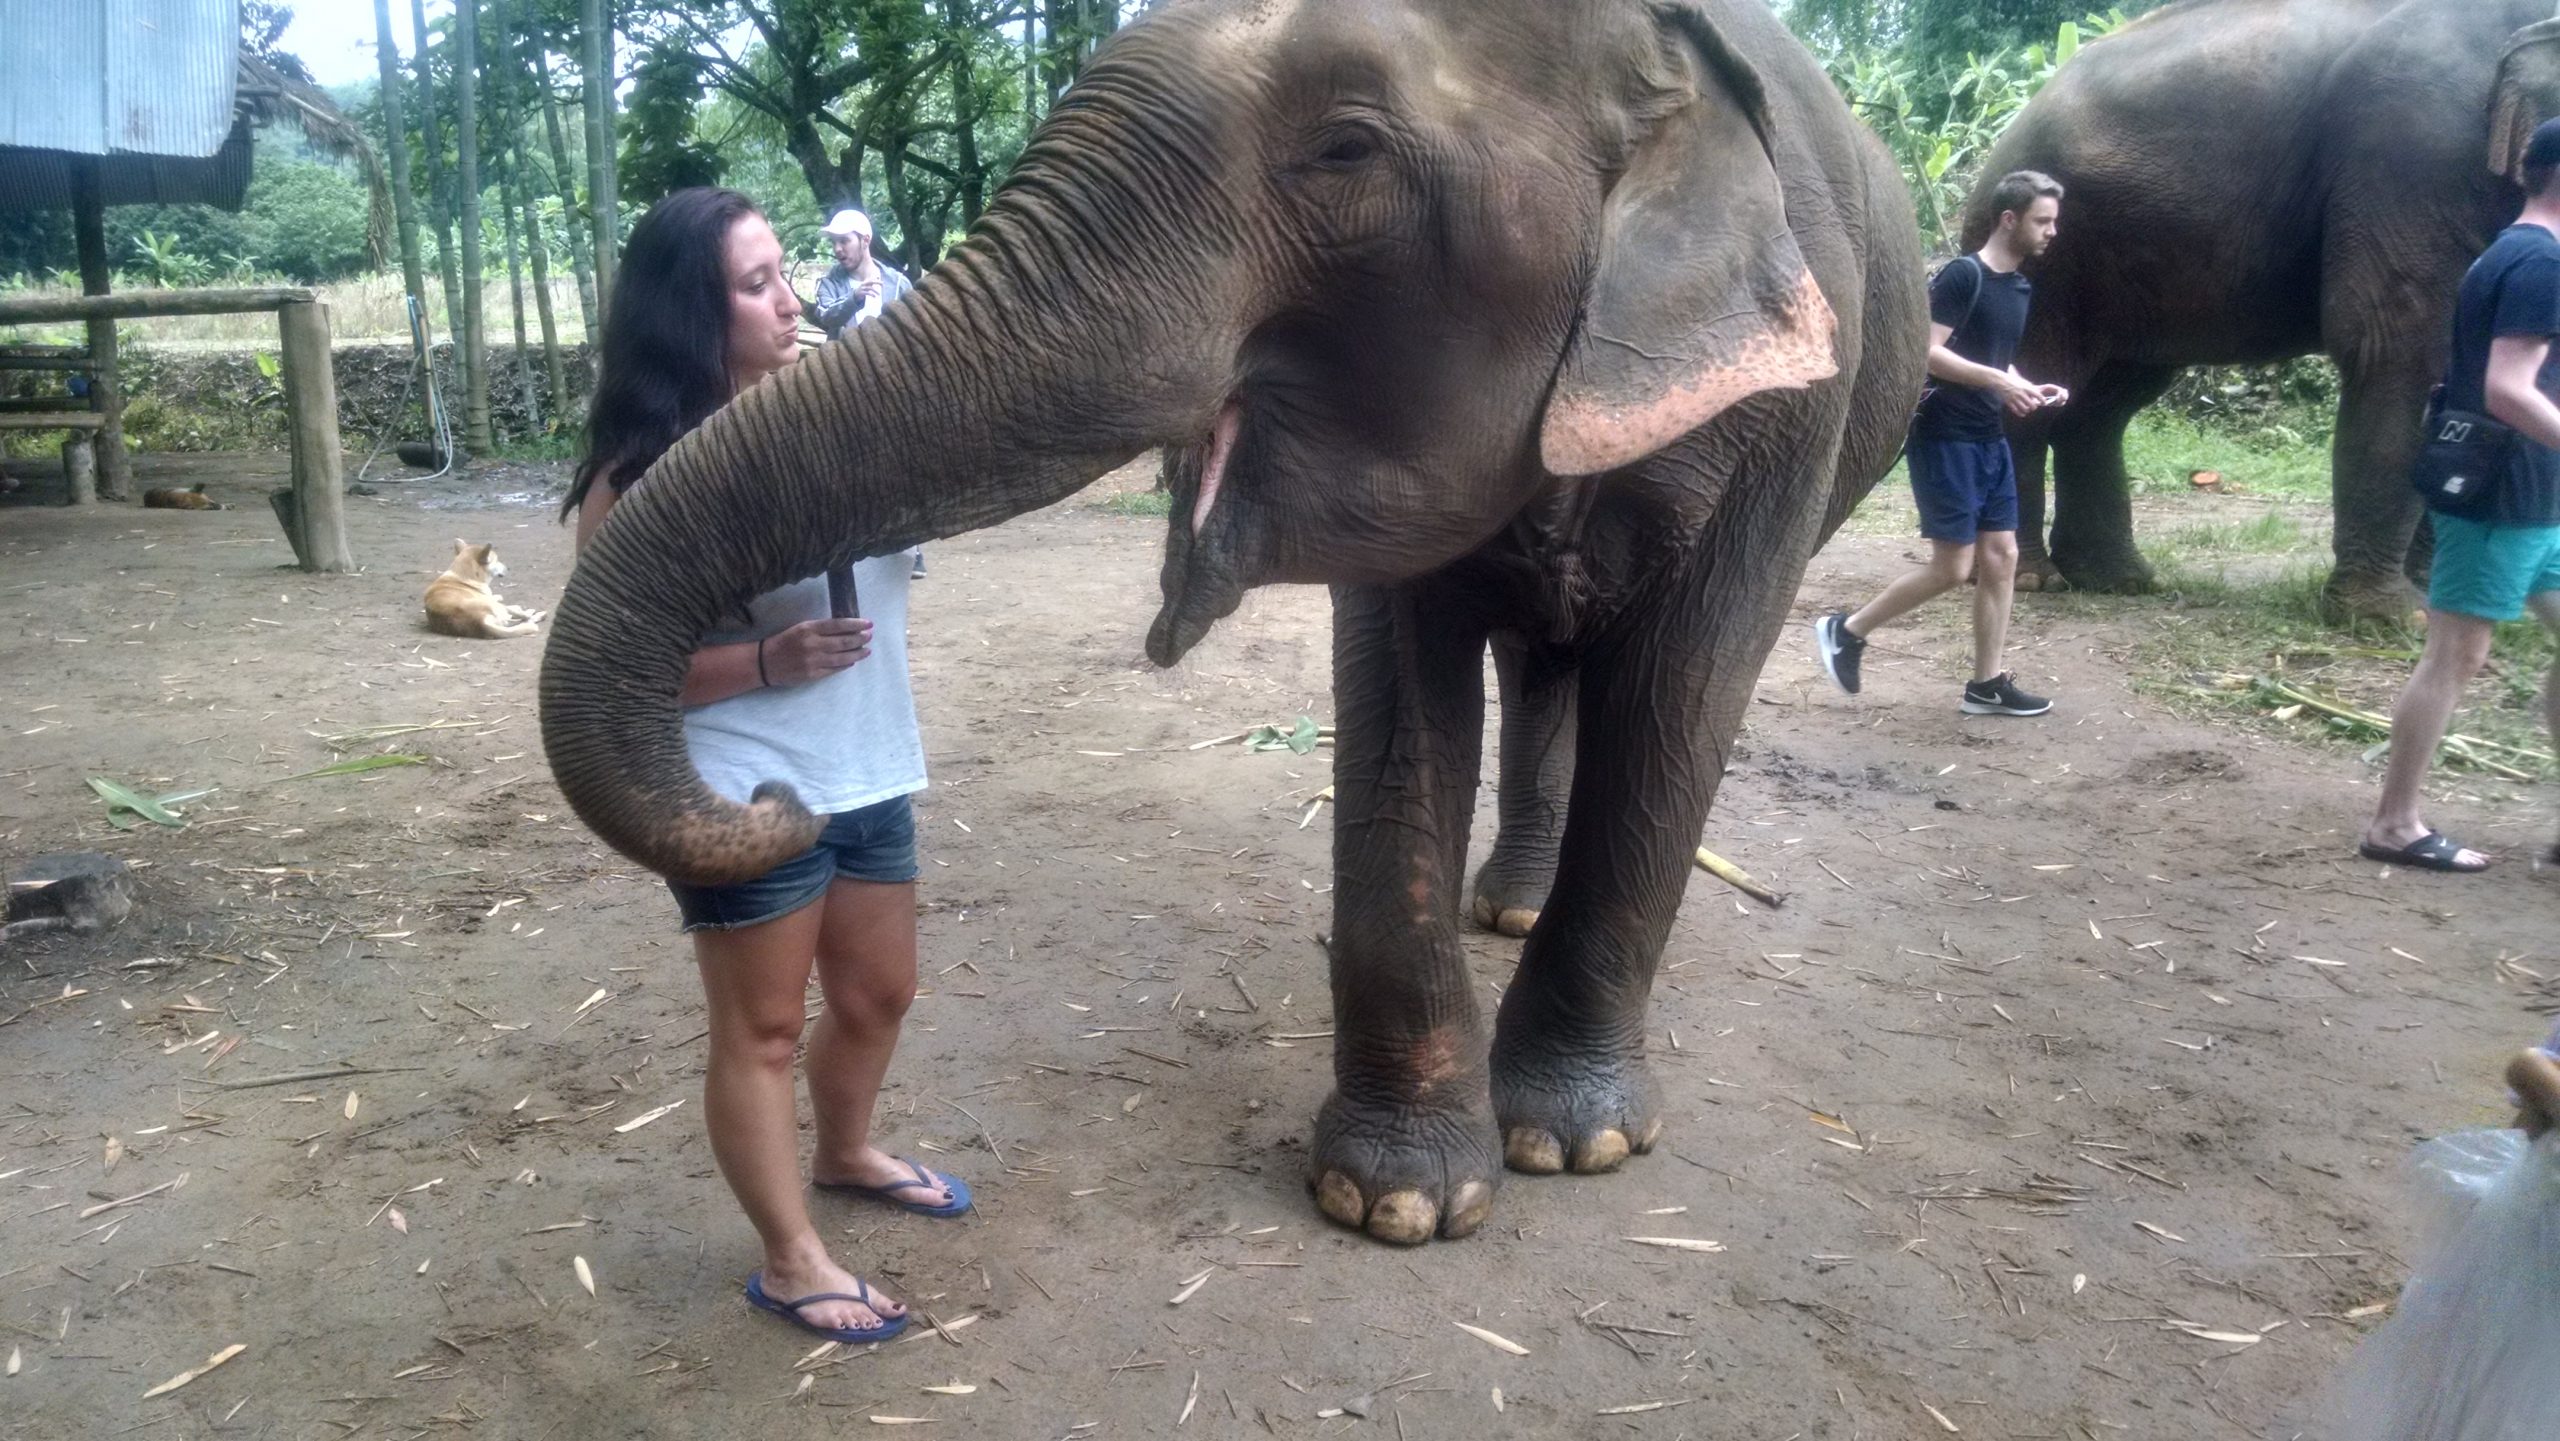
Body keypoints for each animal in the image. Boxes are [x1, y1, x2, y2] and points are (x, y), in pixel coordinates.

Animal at [540, 0, 1925, 1243]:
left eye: (1347, 148)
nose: (773, 806)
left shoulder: (1794, 411)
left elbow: (1681, 701)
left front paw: (1569, 1143)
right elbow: (1398, 701)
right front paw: (1396, 1198)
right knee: (1540, 662)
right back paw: (1508, 907)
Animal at [1966, 0, 2560, 614]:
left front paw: (2439, 600)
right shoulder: (2414, 146)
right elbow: (2400, 343)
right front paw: (2391, 617)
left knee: (2105, 406)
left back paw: (2118, 579)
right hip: (2047, 258)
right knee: (2037, 390)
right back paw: (2030, 579)